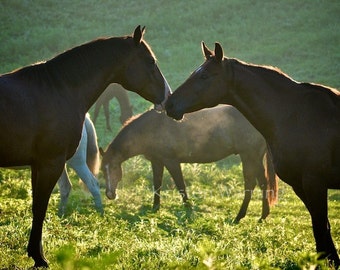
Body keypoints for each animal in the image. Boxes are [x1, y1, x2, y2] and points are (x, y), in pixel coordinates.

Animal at [0, 25, 171, 268]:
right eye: (150, 61)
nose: (168, 96)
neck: (57, 91)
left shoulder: (44, 163)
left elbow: (38, 206)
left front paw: (37, 254)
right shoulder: (48, 163)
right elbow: (39, 207)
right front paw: (38, 256)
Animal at [99, 106, 278, 223]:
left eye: (113, 167)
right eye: (102, 170)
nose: (110, 194)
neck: (151, 129)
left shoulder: (171, 161)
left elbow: (180, 185)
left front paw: (188, 208)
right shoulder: (157, 161)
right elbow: (157, 184)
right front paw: (155, 208)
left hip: (250, 156)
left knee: (256, 184)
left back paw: (248, 216)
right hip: (252, 157)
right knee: (258, 183)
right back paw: (256, 215)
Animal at [165, 42, 340, 268]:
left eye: (204, 76)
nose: (169, 104)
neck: (295, 116)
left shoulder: (314, 183)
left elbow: (320, 227)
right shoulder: (300, 185)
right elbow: (321, 227)